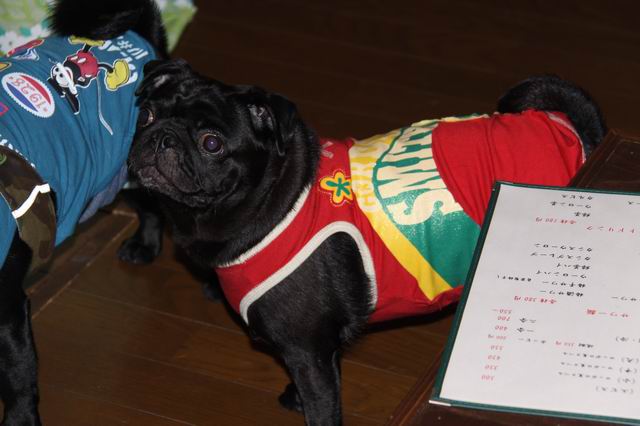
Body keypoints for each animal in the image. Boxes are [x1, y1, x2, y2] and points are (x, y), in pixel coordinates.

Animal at [0, 0, 167, 423]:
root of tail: (135, 36)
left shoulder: (7, 311)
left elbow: (18, 375)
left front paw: (20, 418)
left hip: (131, 166)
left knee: (153, 206)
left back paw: (145, 245)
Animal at [127, 61, 606, 426]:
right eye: (145, 115)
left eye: (211, 143)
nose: (162, 136)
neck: (274, 198)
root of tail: (566, 127)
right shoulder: (317, 352)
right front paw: (293, 397)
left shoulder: (307, 352)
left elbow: (322, 409)